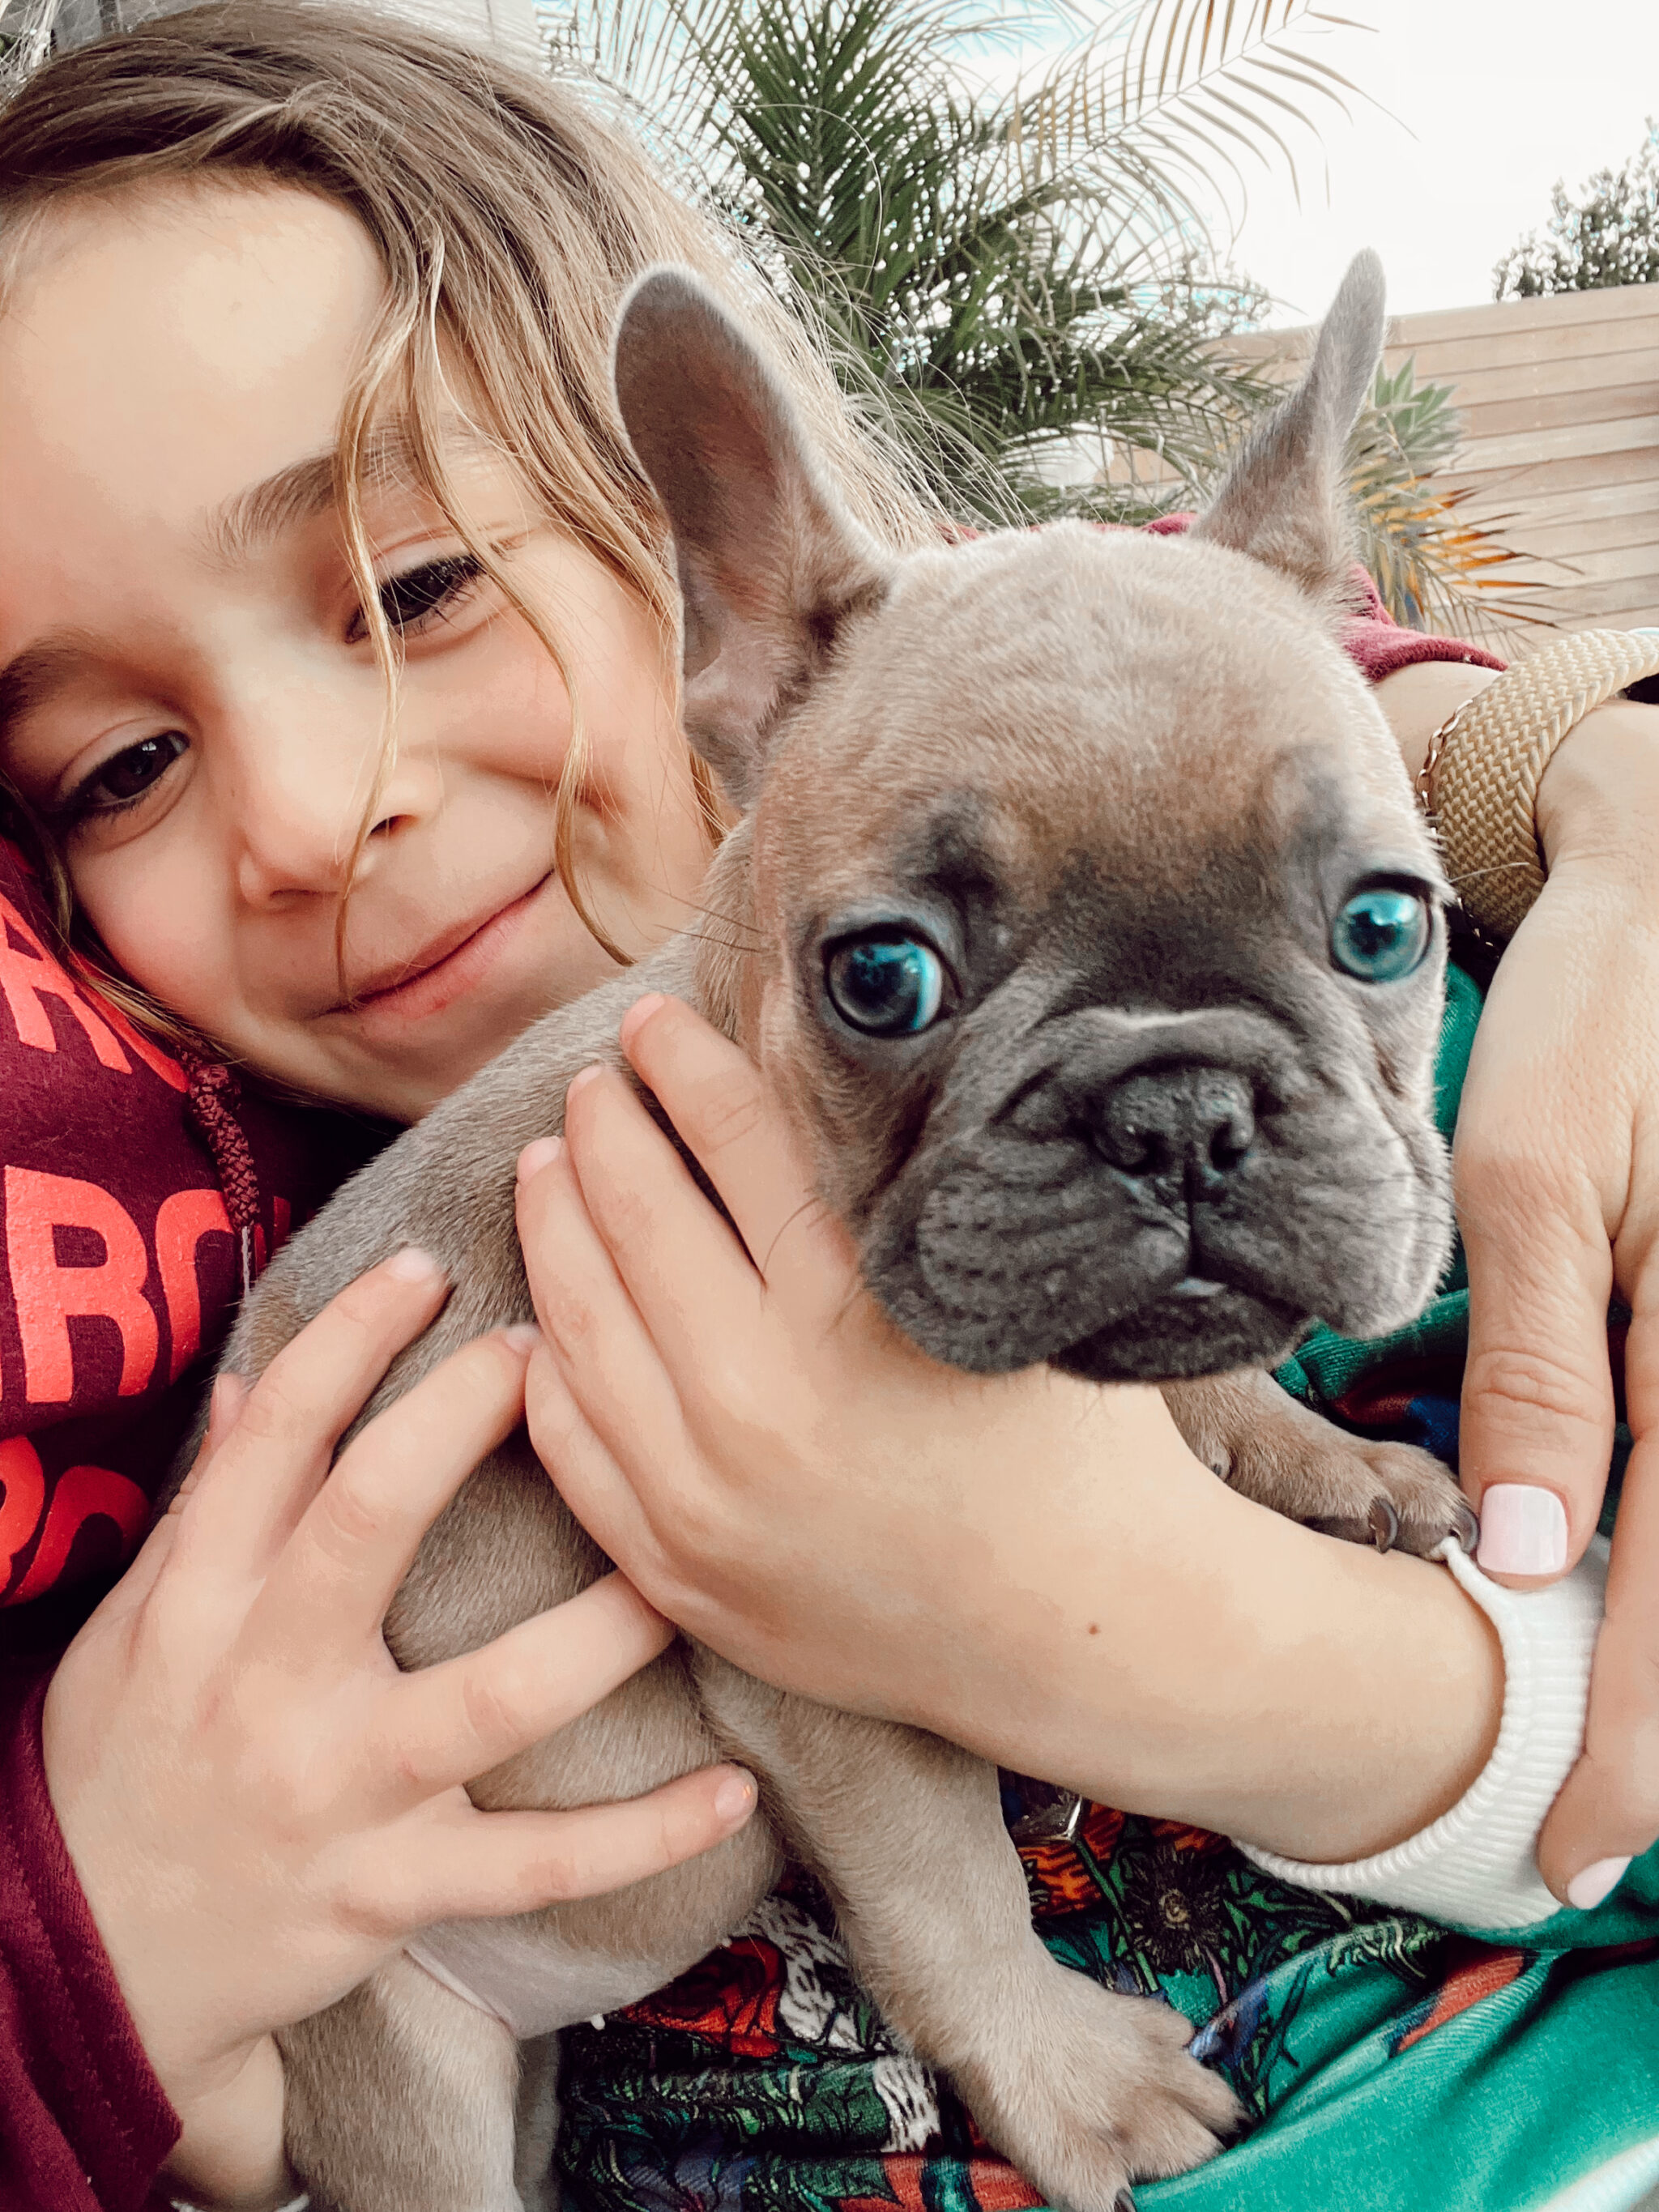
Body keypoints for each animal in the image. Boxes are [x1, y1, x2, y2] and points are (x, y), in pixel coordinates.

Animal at [211, 246, 1478, 2212]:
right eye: (883, 979)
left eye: (1382, 925)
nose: (1178, 1108)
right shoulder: (814, 1679)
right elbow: (947, 1883)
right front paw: (1067, 2084)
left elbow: (1202, 1387)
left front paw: (1314, 1458)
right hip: (398, 2059)